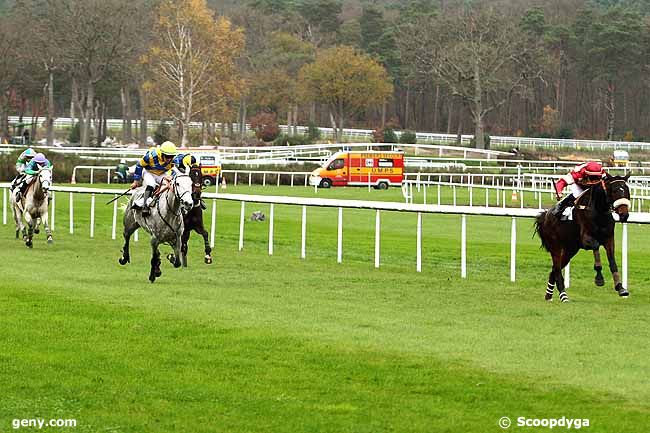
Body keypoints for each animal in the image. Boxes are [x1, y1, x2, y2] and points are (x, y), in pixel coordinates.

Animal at [532, 174, 628, 302]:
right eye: (615, 190)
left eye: (627, 190)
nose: (624, 214)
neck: (599, 212)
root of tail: (545, 215)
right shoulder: (586, 239)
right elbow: (596, 246)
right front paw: (599, 278)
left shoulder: (609, 239)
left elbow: (612, 262)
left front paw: (620, 288)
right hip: (555, 246)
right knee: (557, 269)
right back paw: (563, 295)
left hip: (570, 250)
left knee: (554, 270)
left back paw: (549, 295)